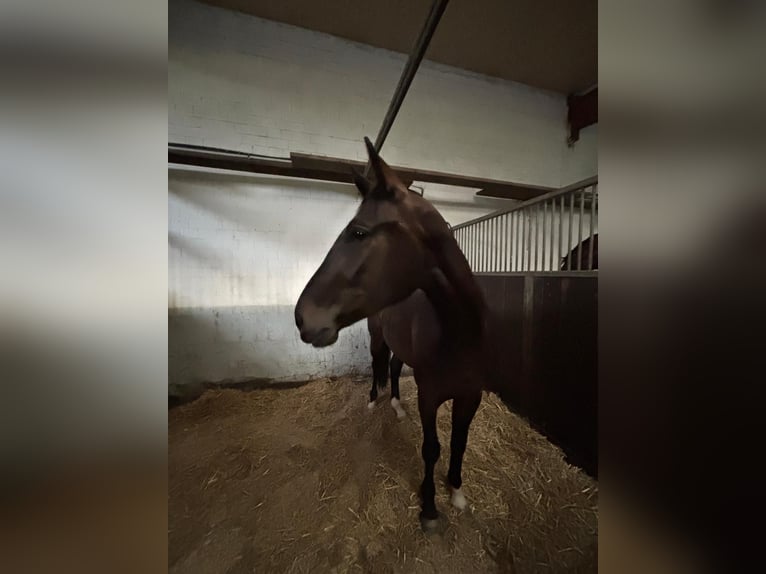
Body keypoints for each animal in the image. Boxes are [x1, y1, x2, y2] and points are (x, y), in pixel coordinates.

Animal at [295, 137, 508, 530]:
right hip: (377, 339)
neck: (459, 334)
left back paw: (395, 405)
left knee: (393, 367)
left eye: (359, 232)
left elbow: (459, 443)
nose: (302, 318)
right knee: (378, 365)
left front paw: (456, 491)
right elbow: (432, 448)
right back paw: (374, 401)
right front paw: (429, 507)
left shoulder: (470, 396)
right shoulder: (429, 396)